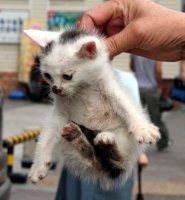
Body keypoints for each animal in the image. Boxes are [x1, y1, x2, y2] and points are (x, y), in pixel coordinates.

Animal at [24, 27, 160, 190]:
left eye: (67, 76)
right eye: (47, 75)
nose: (55, 89)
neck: (82, 87)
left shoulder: (109, 86)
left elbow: (126, 106)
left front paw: (142, 128)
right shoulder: (59, 111)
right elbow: (47, 135)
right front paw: (38, 166)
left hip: (124, 141)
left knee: (118, 158)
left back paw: (106, 143)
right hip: (73, 151)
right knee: (91, 158)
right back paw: (76, 136)